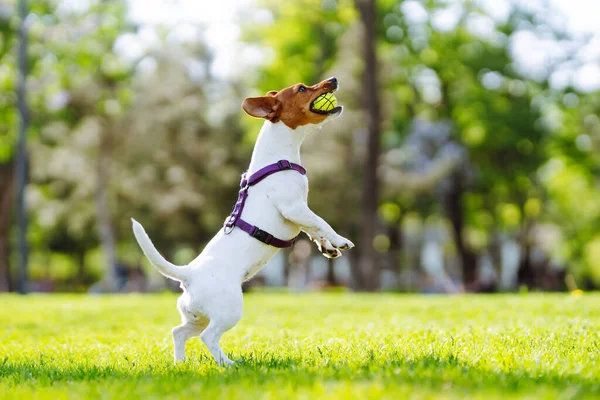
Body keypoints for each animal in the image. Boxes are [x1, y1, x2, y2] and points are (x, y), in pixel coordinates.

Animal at [132, 76, 354, 368]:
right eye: (302, 89)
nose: (334, 79)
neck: (279, 158)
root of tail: (188, 274)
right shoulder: (294, 208)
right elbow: (322, 222)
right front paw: (340, 240)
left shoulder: (299, 214)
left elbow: (314, 230)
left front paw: (328, 247)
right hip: (229, 311)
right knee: (208, 337)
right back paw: (228, 364)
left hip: (197, 316)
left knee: (179, 332)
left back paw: (180, 363)